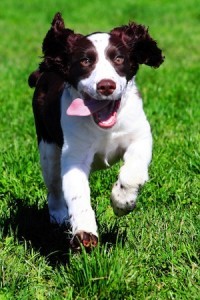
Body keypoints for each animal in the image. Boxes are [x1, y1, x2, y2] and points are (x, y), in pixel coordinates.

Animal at [28, 12, 164, 248]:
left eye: (118, 59)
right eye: (85, 61)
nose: (106, 85)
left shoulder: (140, 136)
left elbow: (133, 172)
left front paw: (122, 202)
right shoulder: (74, 154)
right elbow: (77, 193)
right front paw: (85, 233)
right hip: (48, 147)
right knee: (54, 187)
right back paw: (59, 216)